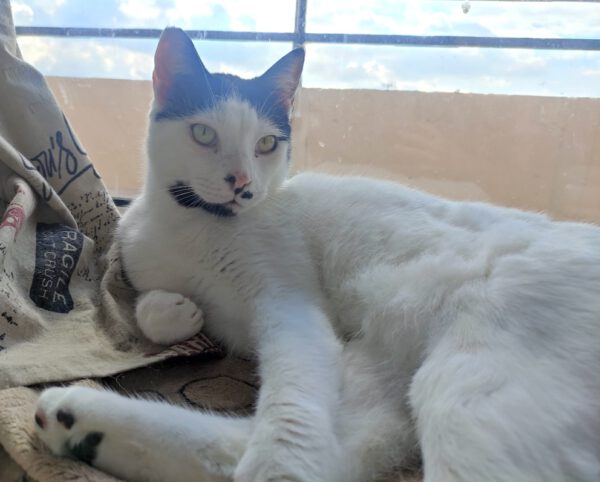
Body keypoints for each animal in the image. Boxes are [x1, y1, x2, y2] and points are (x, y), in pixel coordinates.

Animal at [35, 27, 600, 482]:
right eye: (203, 133)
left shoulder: (290, 307)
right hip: (379, 375)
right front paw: (176, 311)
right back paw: (74, 417)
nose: (241, 182)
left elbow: (292, 402)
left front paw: (278, 466)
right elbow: (151, 307)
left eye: (266, 144)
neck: (195, 226)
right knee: (308, 450)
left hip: (471, 391)